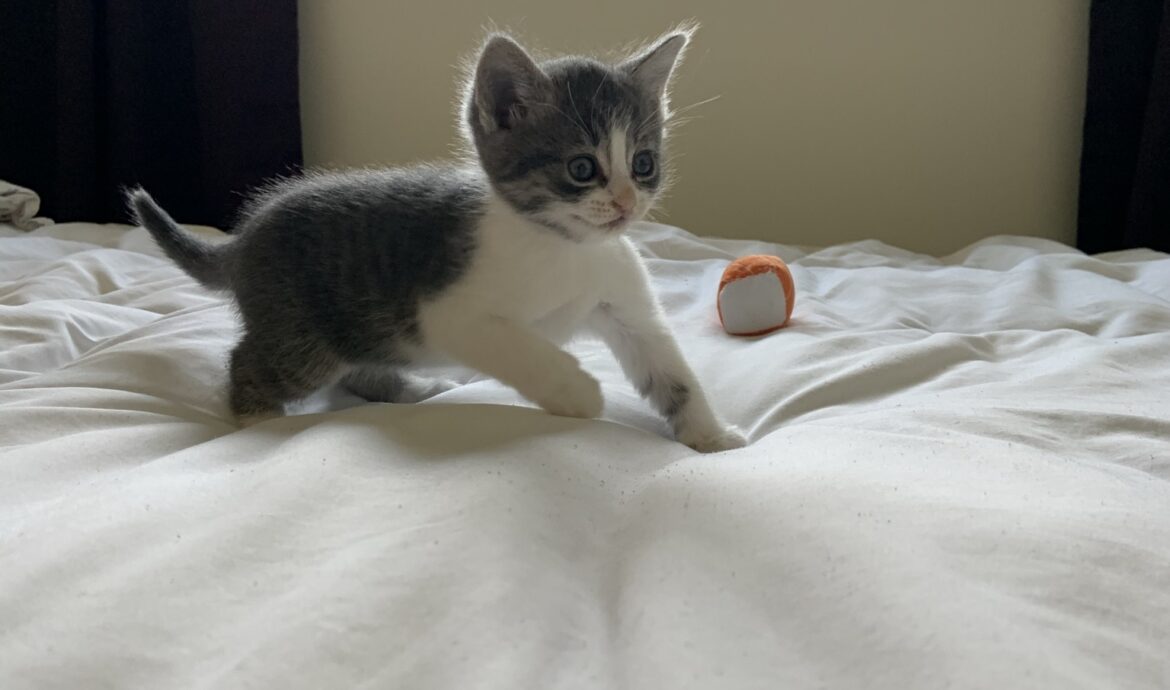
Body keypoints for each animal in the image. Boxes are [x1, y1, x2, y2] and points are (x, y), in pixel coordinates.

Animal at [130, 27, 748, 453]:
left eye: (643, 164)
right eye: (581, 168)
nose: (624, 203)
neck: (565, 248)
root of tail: (242, 241)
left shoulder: (625, 303)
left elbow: (670, 369)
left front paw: (711, 436)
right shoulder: (448, 312)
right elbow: (524, 347)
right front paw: (577, 392)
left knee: (361, 367)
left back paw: (411, 390)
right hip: (303, 332)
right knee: (252, 360)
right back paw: (257, 421)